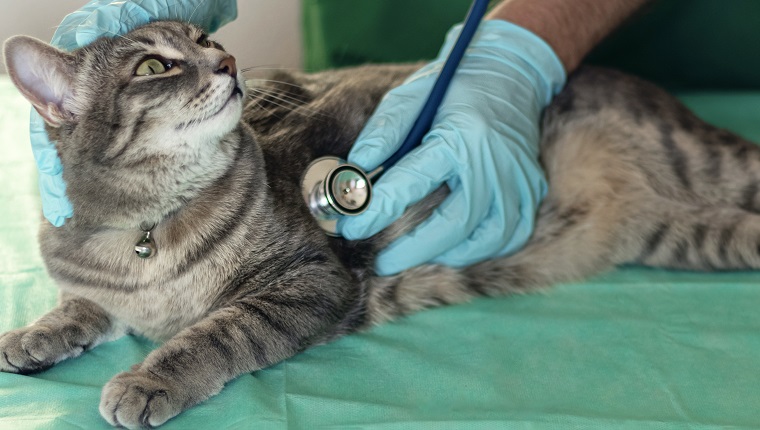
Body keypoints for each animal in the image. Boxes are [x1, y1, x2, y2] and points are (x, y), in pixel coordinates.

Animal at [2, 21, 756, 430]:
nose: (229, 60)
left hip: (709, 162)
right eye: (155, 65)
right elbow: (77, 306)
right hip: (682, 236)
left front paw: (147, 381)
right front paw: (32, 337)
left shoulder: (308, 282)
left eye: (206, 37)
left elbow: (216, 332)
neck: (145, 233)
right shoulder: (98, 287)